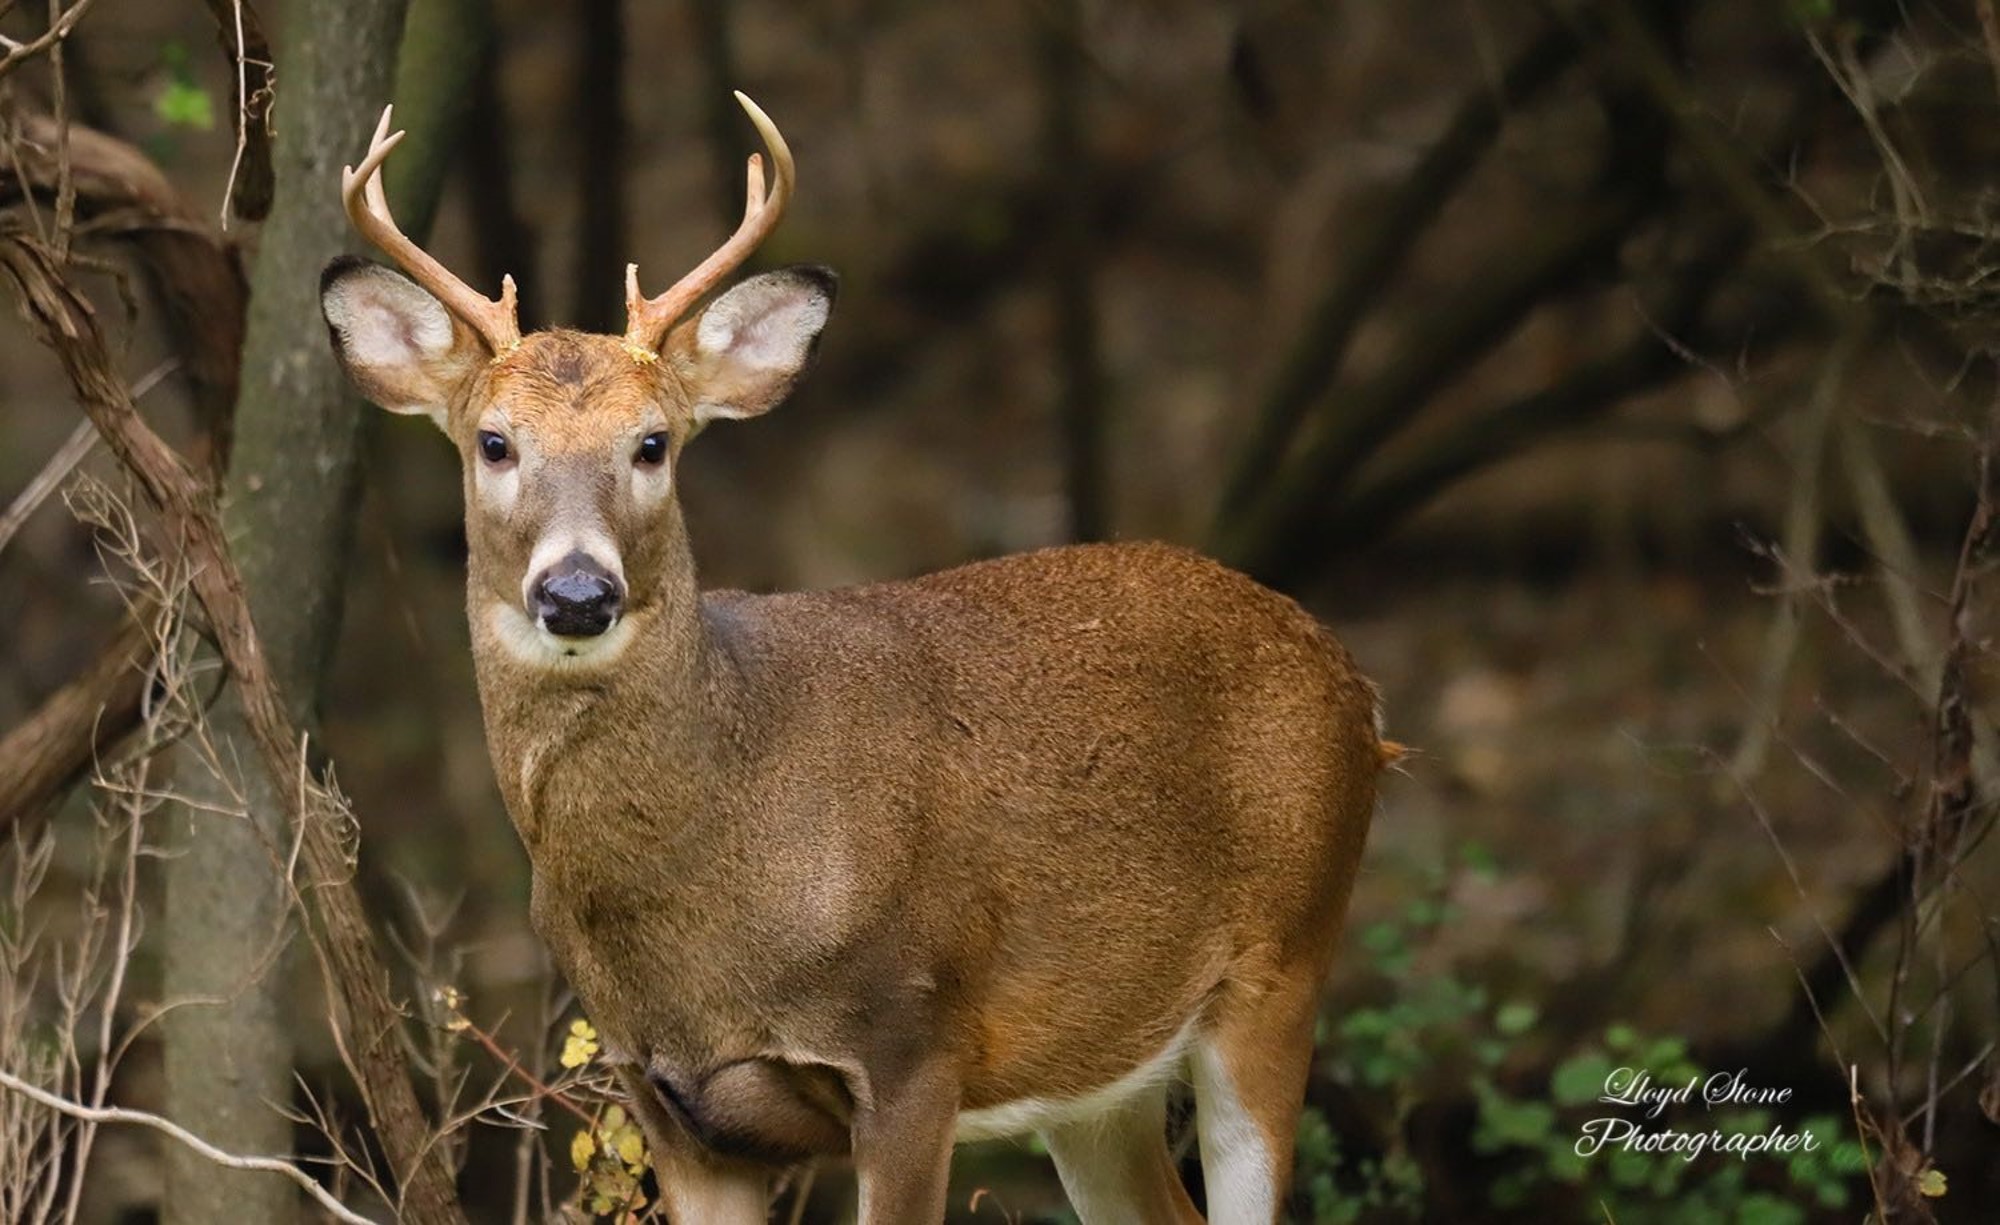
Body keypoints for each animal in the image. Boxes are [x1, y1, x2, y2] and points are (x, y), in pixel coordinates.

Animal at [319, 94, 1395, 1225]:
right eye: (493, 442)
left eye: (653, 443)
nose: (578, 591)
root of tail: (1356, 689)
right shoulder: (669, 1098)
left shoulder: (910, 1049)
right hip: (1100, 1075)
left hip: (1284, 964)